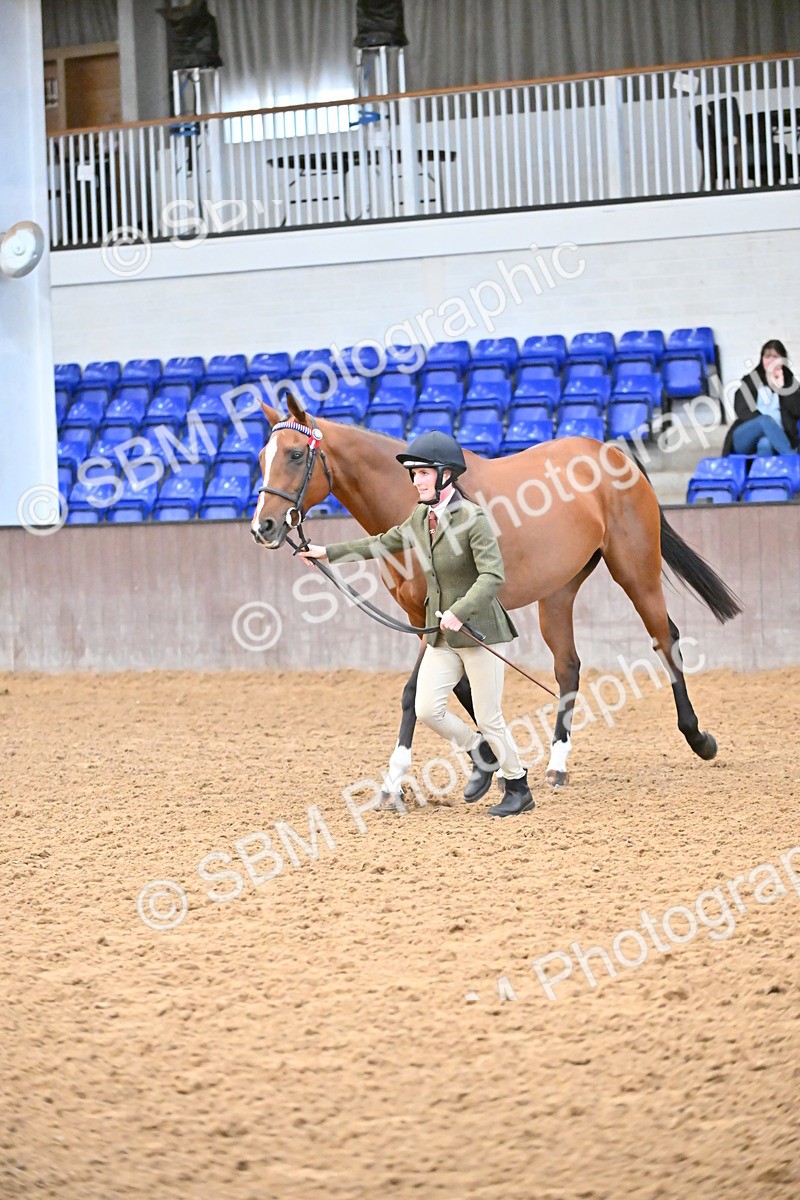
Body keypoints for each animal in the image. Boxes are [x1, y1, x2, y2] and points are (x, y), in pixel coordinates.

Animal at [251, 393, 741, 799]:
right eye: (260, 459)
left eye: (295, 454)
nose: (263, 527)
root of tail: (614, 454)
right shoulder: (426, 619)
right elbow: (459, 689)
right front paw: (489, 766)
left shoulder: (444, 611)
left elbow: (413, 693)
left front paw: (394, 780)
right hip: (558, 591)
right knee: (568, 667)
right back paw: (558, 763)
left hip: (636, 571)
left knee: (665, 638)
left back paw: (700, 739)